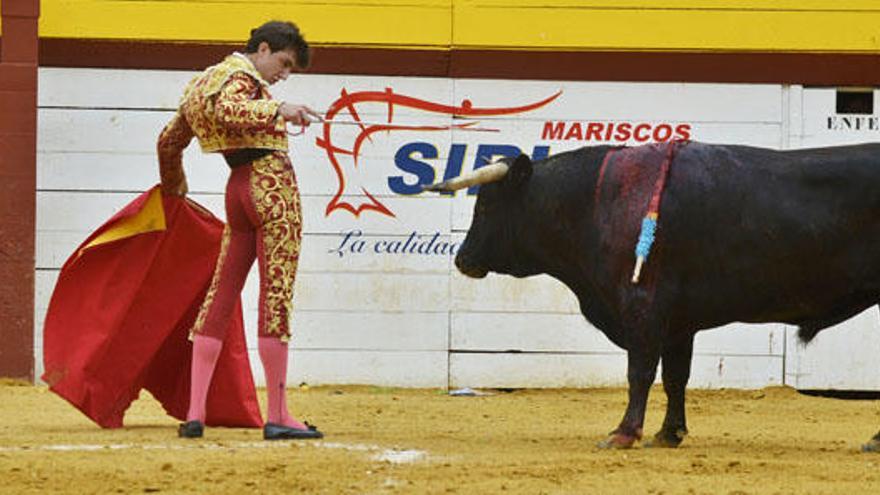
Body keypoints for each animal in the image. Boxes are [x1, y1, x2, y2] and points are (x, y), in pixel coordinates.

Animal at [424, 141, 880, 452]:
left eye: (486, 208)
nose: (463, 260)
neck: (597, 201)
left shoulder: (642, 309)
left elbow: (639, 372)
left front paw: (624, 433)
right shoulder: (679, 323)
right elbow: (675, 376)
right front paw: (668, 433)